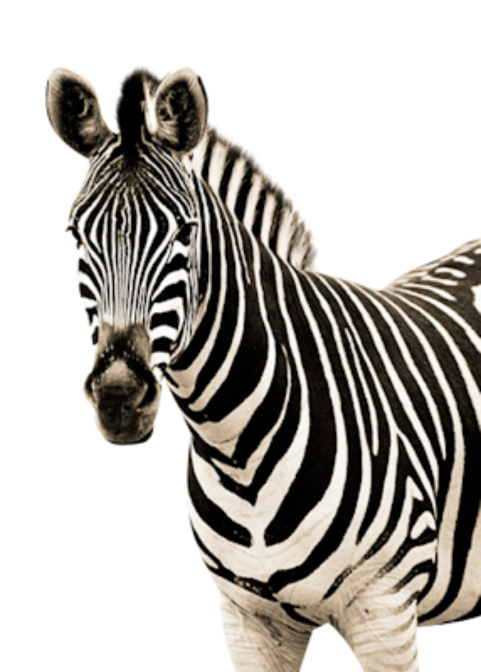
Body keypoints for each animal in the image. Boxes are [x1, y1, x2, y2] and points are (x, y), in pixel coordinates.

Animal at [46, 66, 481, 672]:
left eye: (185, 232)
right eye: (75, 234)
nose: (118, 398)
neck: (237, 450)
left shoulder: (386, 611)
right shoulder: (250, 620)